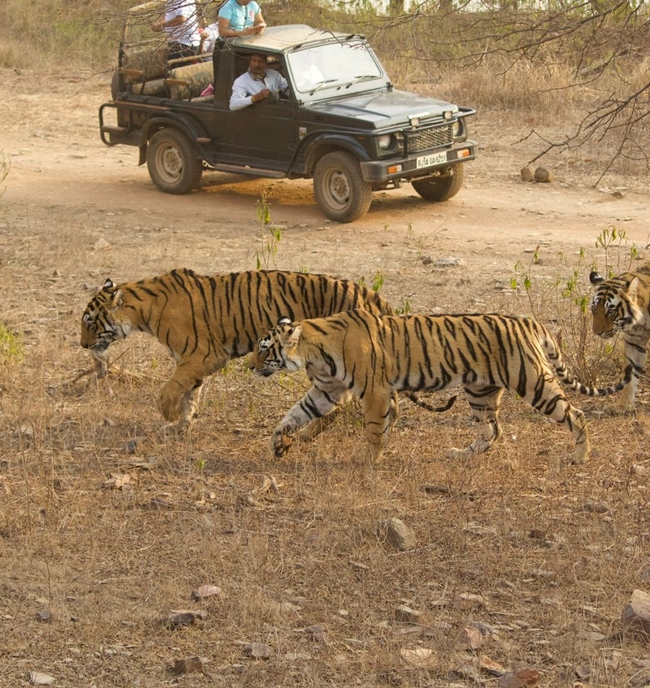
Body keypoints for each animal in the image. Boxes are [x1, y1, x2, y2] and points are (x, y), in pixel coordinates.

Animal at [79, 268, 436, 430]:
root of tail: (372, 295)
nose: (82, 344)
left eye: (90, 322)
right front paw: (183, 424)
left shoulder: (202, 355)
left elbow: (169, 390)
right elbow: (190, 392)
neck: (141, 309)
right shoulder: (194, 361)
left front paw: (169, 417)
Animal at [248, 310, 632, 465]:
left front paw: (368, 459)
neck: (312, 351)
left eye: (264, 349)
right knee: (492, 431)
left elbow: (373, 429)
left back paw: (580, 456)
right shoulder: (328, 391)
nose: (249, 366)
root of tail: (527, 321)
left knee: (576, 414)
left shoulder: (374, 391)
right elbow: (293, 415)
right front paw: (277, 444)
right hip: (480, 392)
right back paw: (462, 455)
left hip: (534, 383)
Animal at [589, 263, 650, 411]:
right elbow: (631, 374)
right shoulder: (635, 342)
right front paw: (624, 406)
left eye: (610, 311)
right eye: (594, 309)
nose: (597, 332)